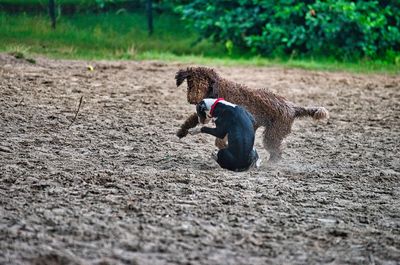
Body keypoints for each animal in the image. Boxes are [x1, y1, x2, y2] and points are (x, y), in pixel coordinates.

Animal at [175, 66, 328, 161]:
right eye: (191, 83)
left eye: (203, 84)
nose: (193, 100)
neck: (217, 89)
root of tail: (291, 107)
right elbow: (192, 119)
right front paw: (182, 131)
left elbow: (219, 139)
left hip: (273, 133)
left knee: (276, 151)